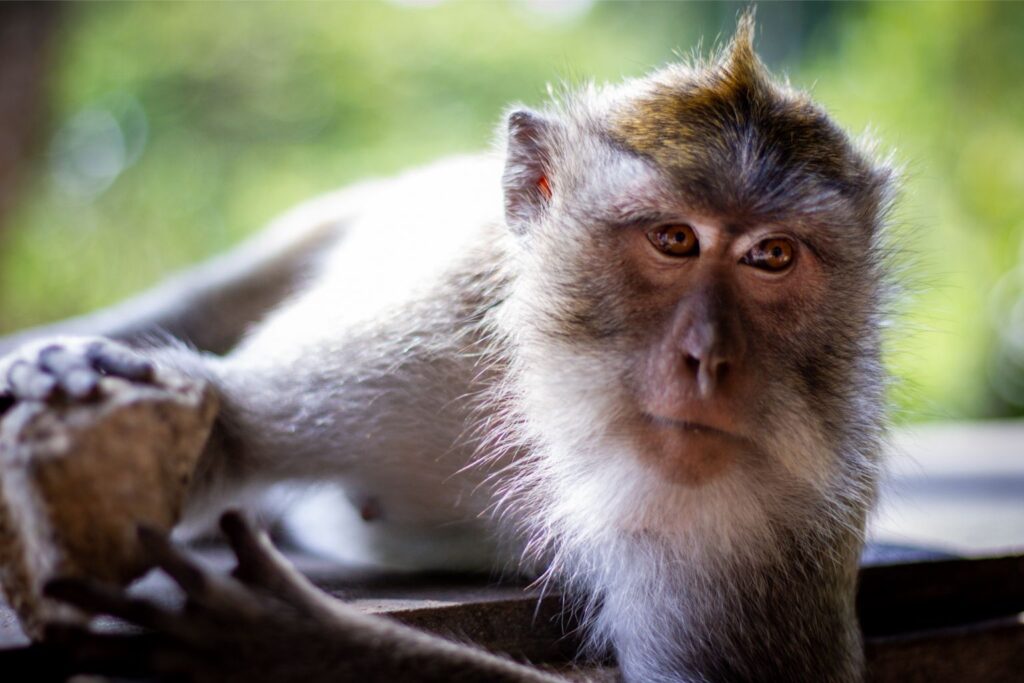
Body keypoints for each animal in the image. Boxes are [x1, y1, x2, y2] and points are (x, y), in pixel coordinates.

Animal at [0, 12, 892, 683]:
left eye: (771, 256)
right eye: (674, 239)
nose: (710, 360)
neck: (557, 423)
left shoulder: (777, 515)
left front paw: (301, 646)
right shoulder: (418, 339)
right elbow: (228, 432)